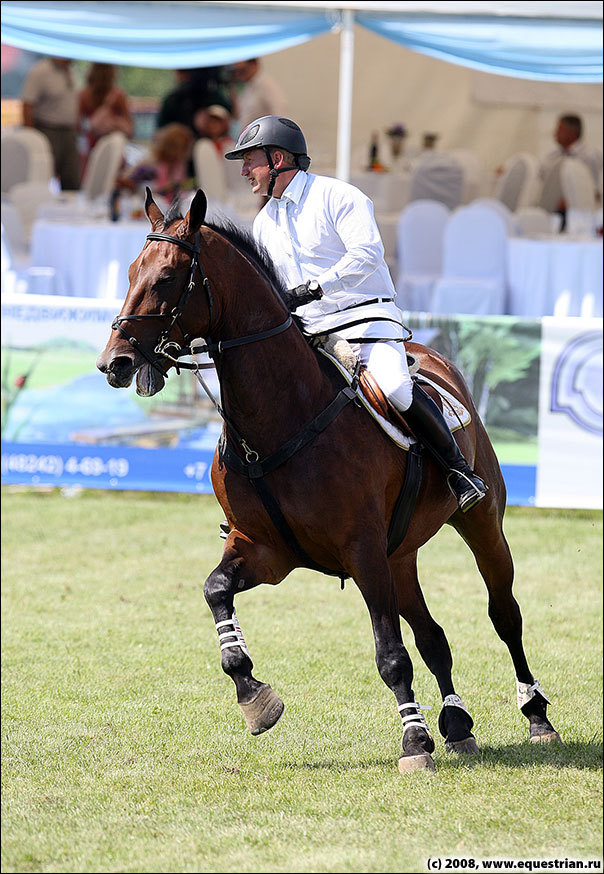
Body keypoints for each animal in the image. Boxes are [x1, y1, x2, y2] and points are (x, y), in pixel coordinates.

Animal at [96, 191, 560, 768]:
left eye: (165, 277)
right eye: (130, 271)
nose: (114, 362)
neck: (278, 419)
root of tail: (434, 358)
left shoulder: (361, 551)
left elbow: (391, 656)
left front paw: (413, 742)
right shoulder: (267, 550)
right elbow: (215, 591)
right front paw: (253, 695)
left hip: (478, 525)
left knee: (504, 615)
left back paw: (536, 715)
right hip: (399, 555)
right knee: (434, 636)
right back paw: (456, 724)